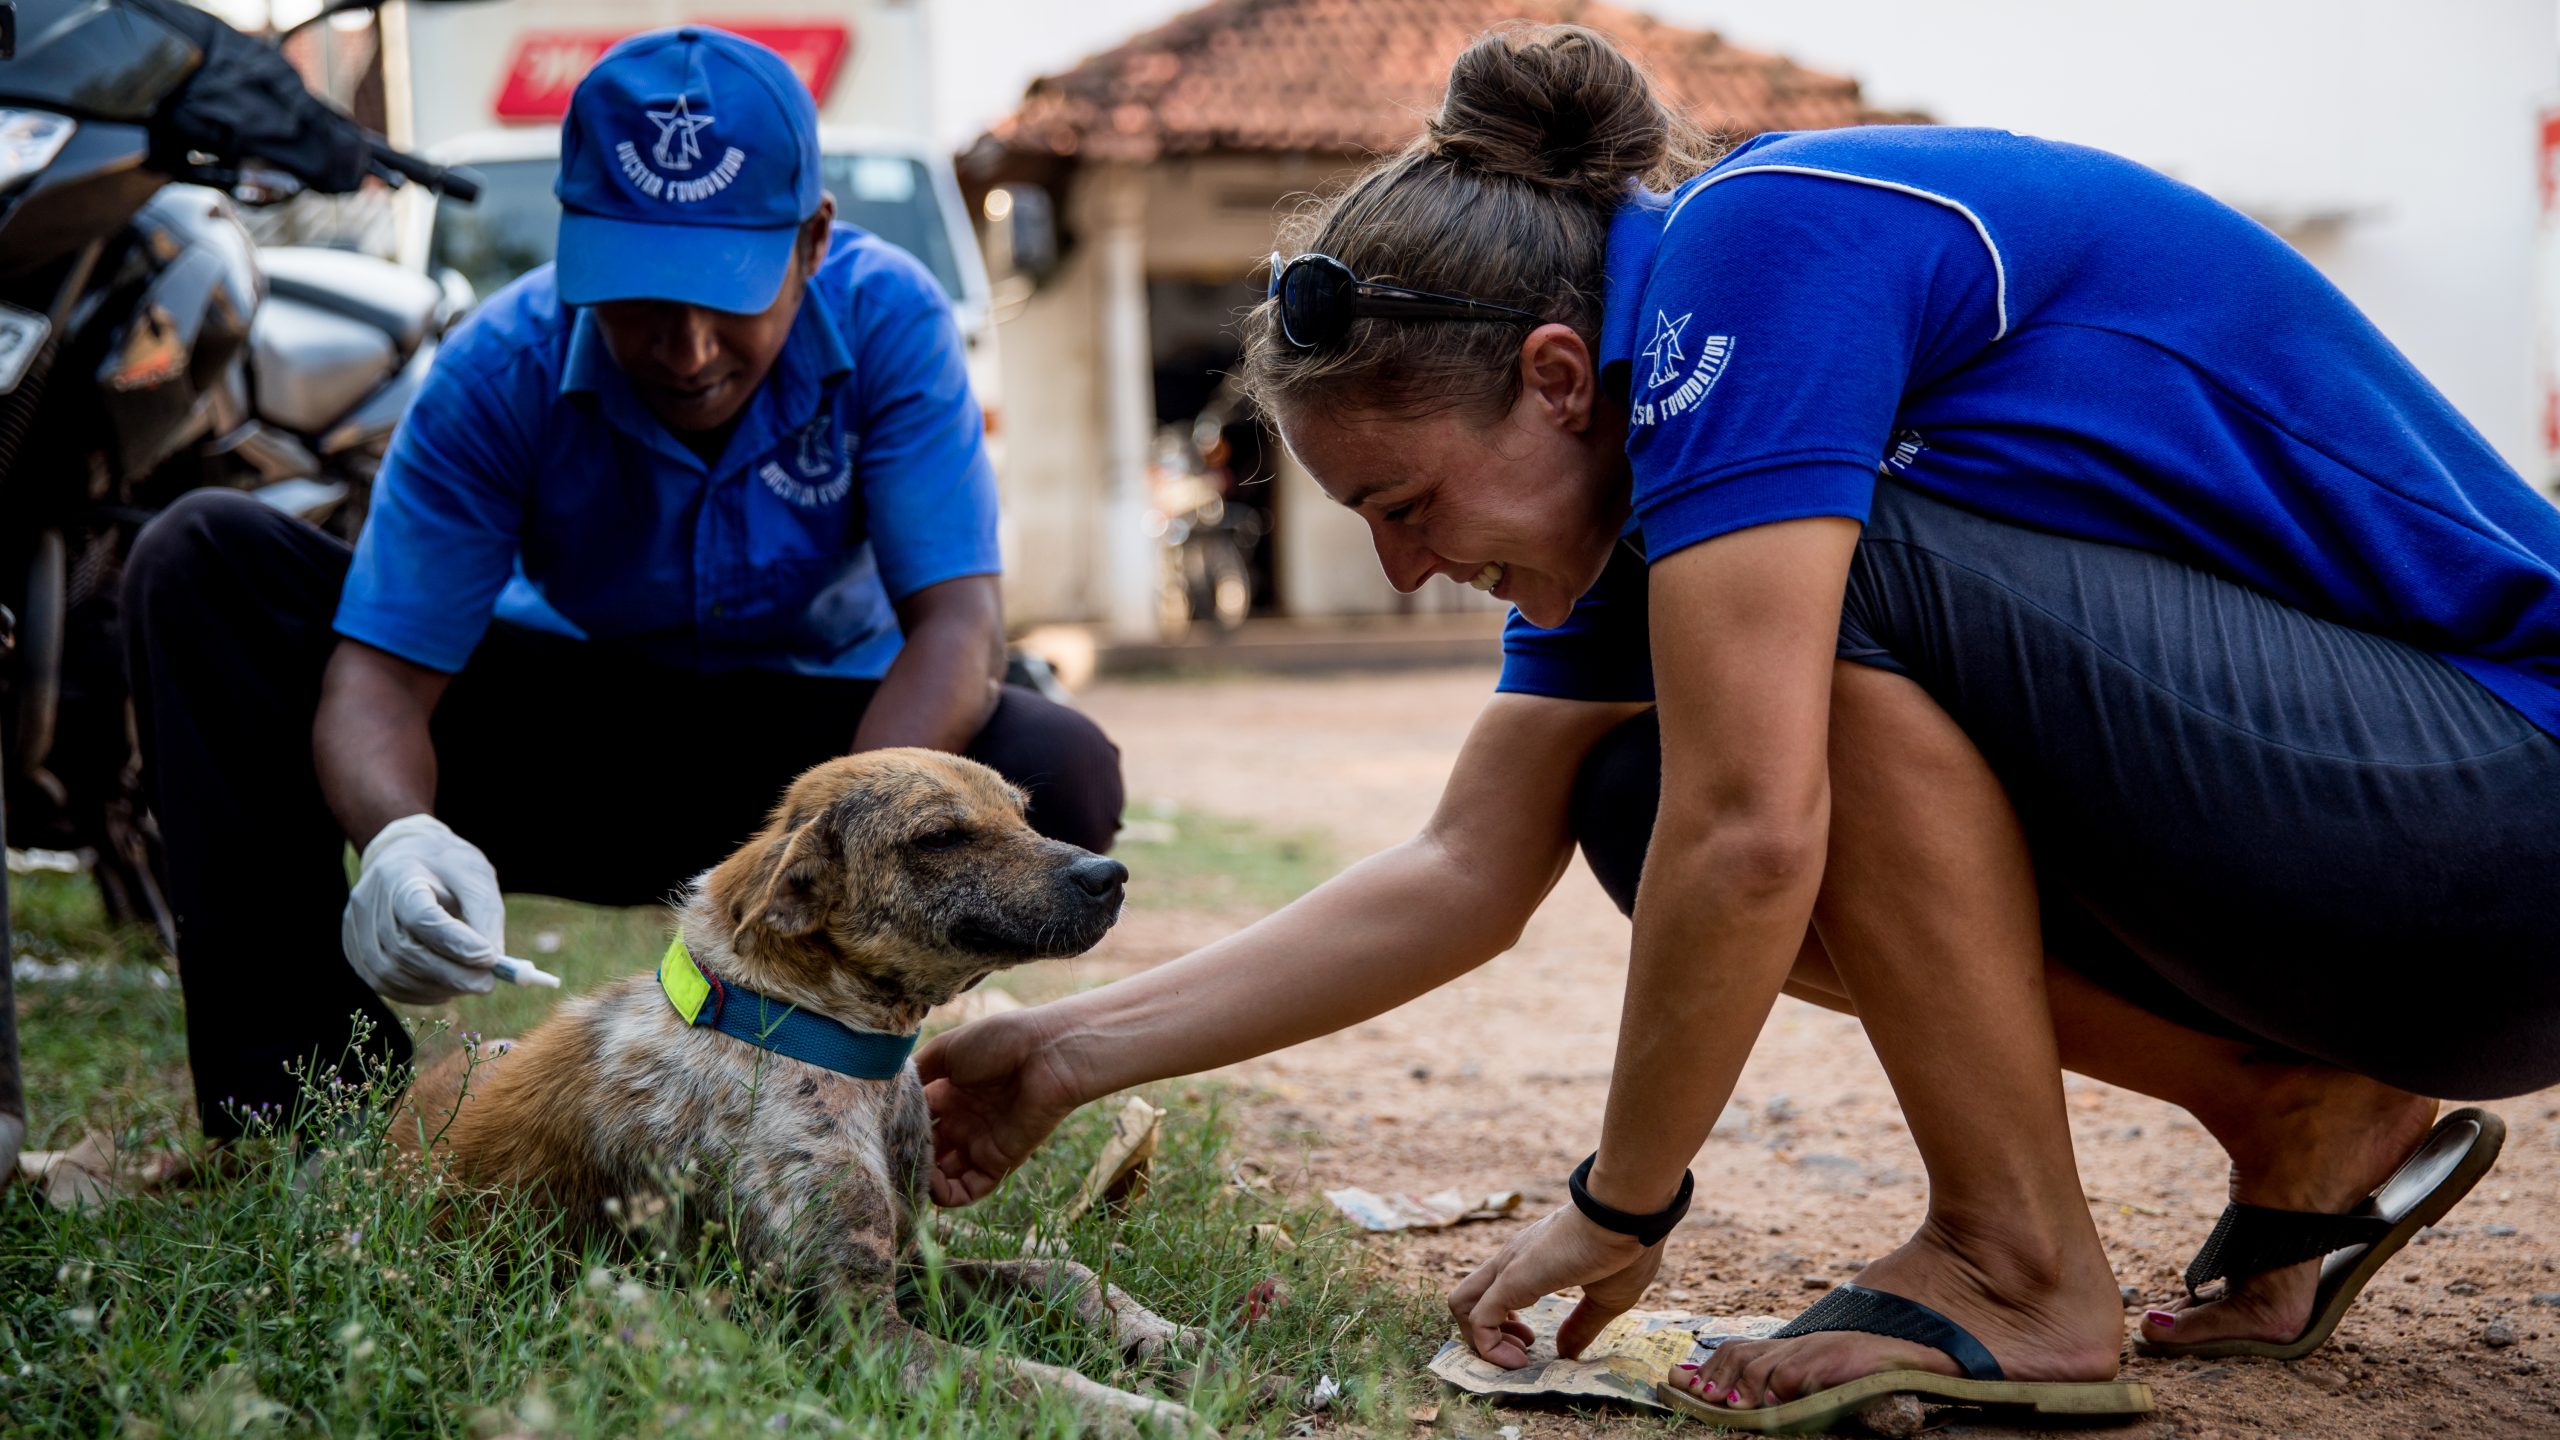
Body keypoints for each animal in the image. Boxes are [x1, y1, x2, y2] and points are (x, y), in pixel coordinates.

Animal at [394, 753, 1203, 1424]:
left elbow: (1060, 1270)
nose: (1109, 876)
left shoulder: (910, 1262)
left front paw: (1153, 1331)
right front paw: (1150, 1416)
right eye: (940, 836)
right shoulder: (859, 1332)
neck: (818, 1036)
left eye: (1022, 815)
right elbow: (1028, 1380)